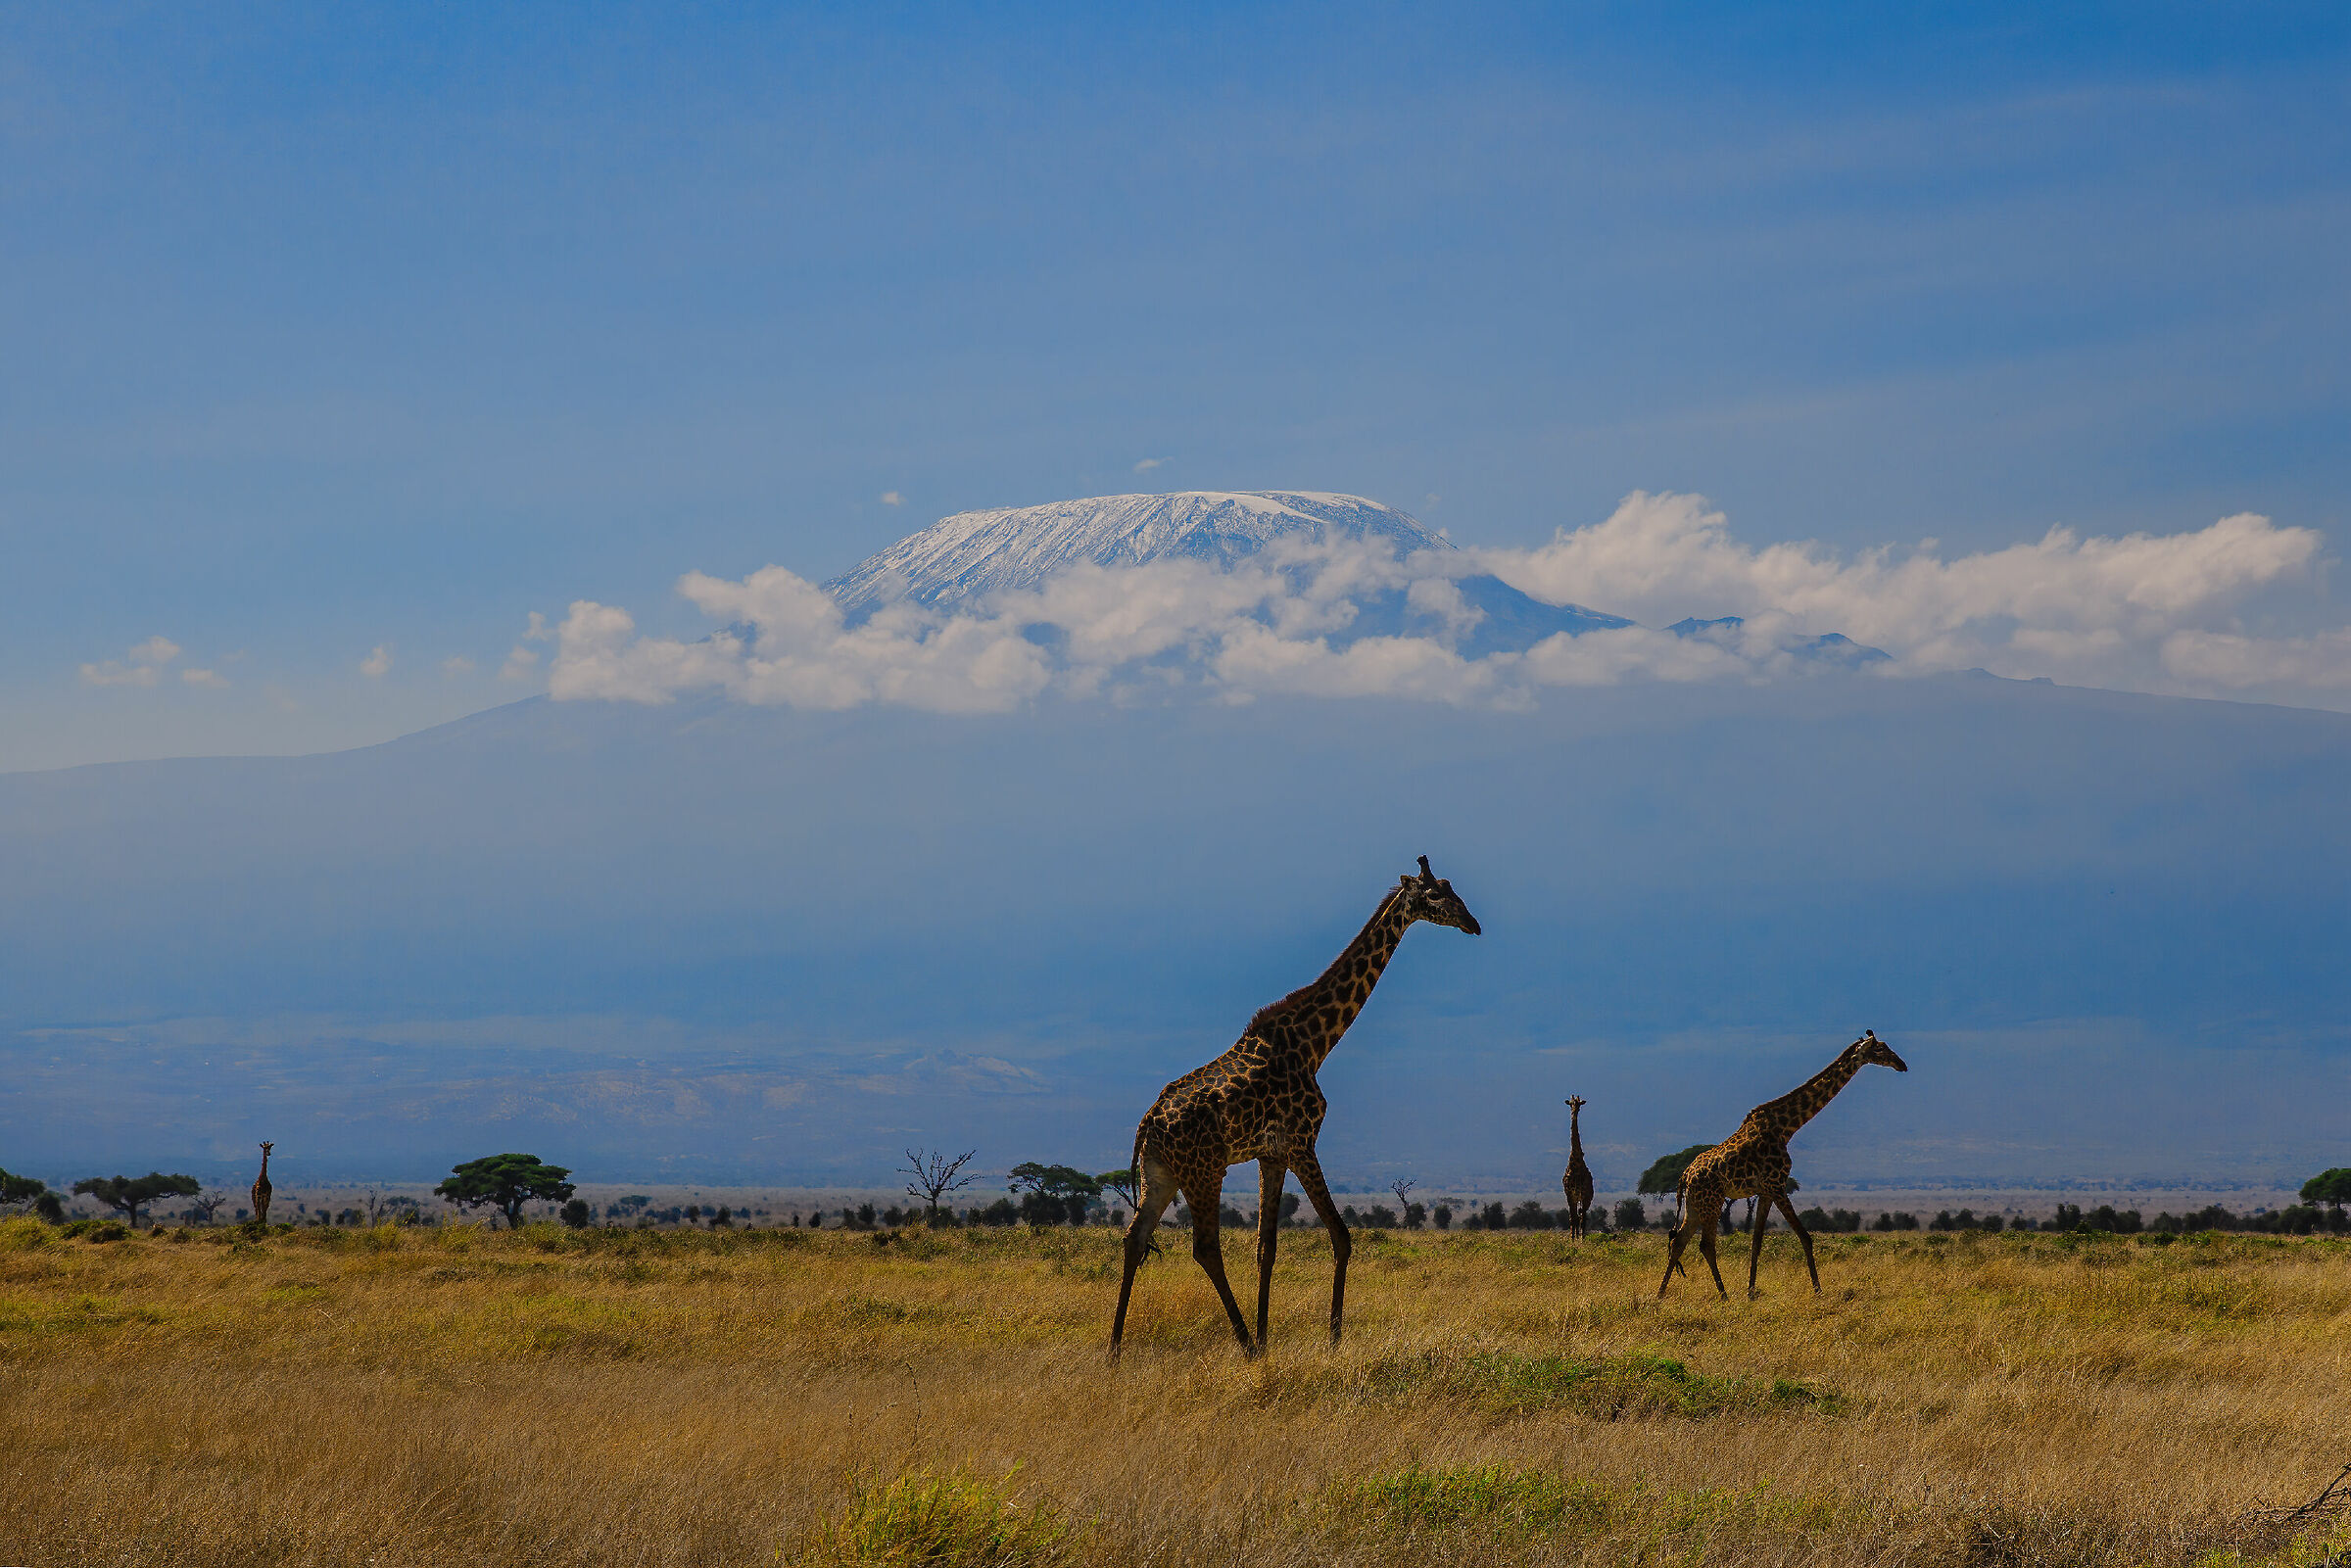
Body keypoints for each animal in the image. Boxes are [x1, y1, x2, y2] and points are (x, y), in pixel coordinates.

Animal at [1110, 857, 1481, 1356]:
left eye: (1452, 888)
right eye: (1436, 894)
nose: (1473, 923)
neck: (1314, 1044)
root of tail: (1147, 1124)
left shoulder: (1272, 1153)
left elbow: (1266, 1249)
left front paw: (1271, 1336)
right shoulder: (1303, 1143)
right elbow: (1341, 1236)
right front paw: (1333, 1337)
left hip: (1162, 1173)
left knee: (1134, 1240)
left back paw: (1114, 1349)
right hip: (1204, 1171)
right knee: (1205, 1247)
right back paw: (1244, 1343)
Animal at [1658, 1031, 1908, 1300]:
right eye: (1880, 1049)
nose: (1902, 1064)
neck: (1786, 1128)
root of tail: (1684, 1176)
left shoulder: (1766, 1191)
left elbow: (1756, 1242)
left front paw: (1751, 1292)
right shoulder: (1777, 1185)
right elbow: (1805, 1237)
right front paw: (1818, 1291)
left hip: (1695, 1204)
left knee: (1679, 1242)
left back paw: (1661, 1295)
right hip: (1712, 1201)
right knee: (1705, 1244)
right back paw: (1723, 1295)